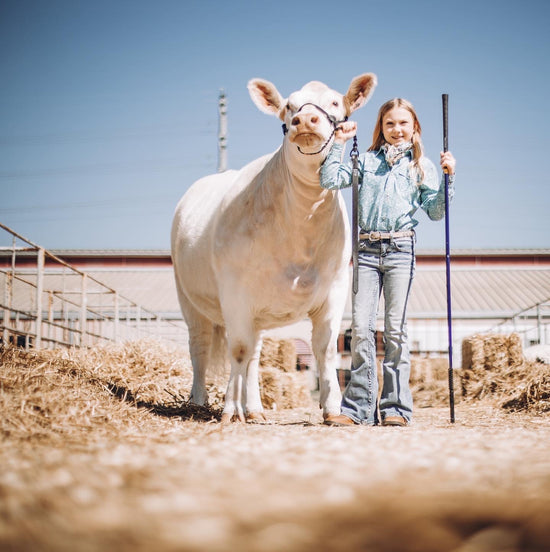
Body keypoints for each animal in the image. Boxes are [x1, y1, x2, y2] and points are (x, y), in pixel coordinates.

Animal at [172, 74, 380, 422]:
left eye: (335, 102)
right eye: (289, 106)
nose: (305, 120)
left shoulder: (335, 289)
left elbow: (325, 350)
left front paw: (332, 409)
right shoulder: (235, 292)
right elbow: (237, 351)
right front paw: (230, 409)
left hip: (255, 313)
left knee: (255, 356)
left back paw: (255, 409)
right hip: (189, 298)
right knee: (201, 346)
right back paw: (199, 401)